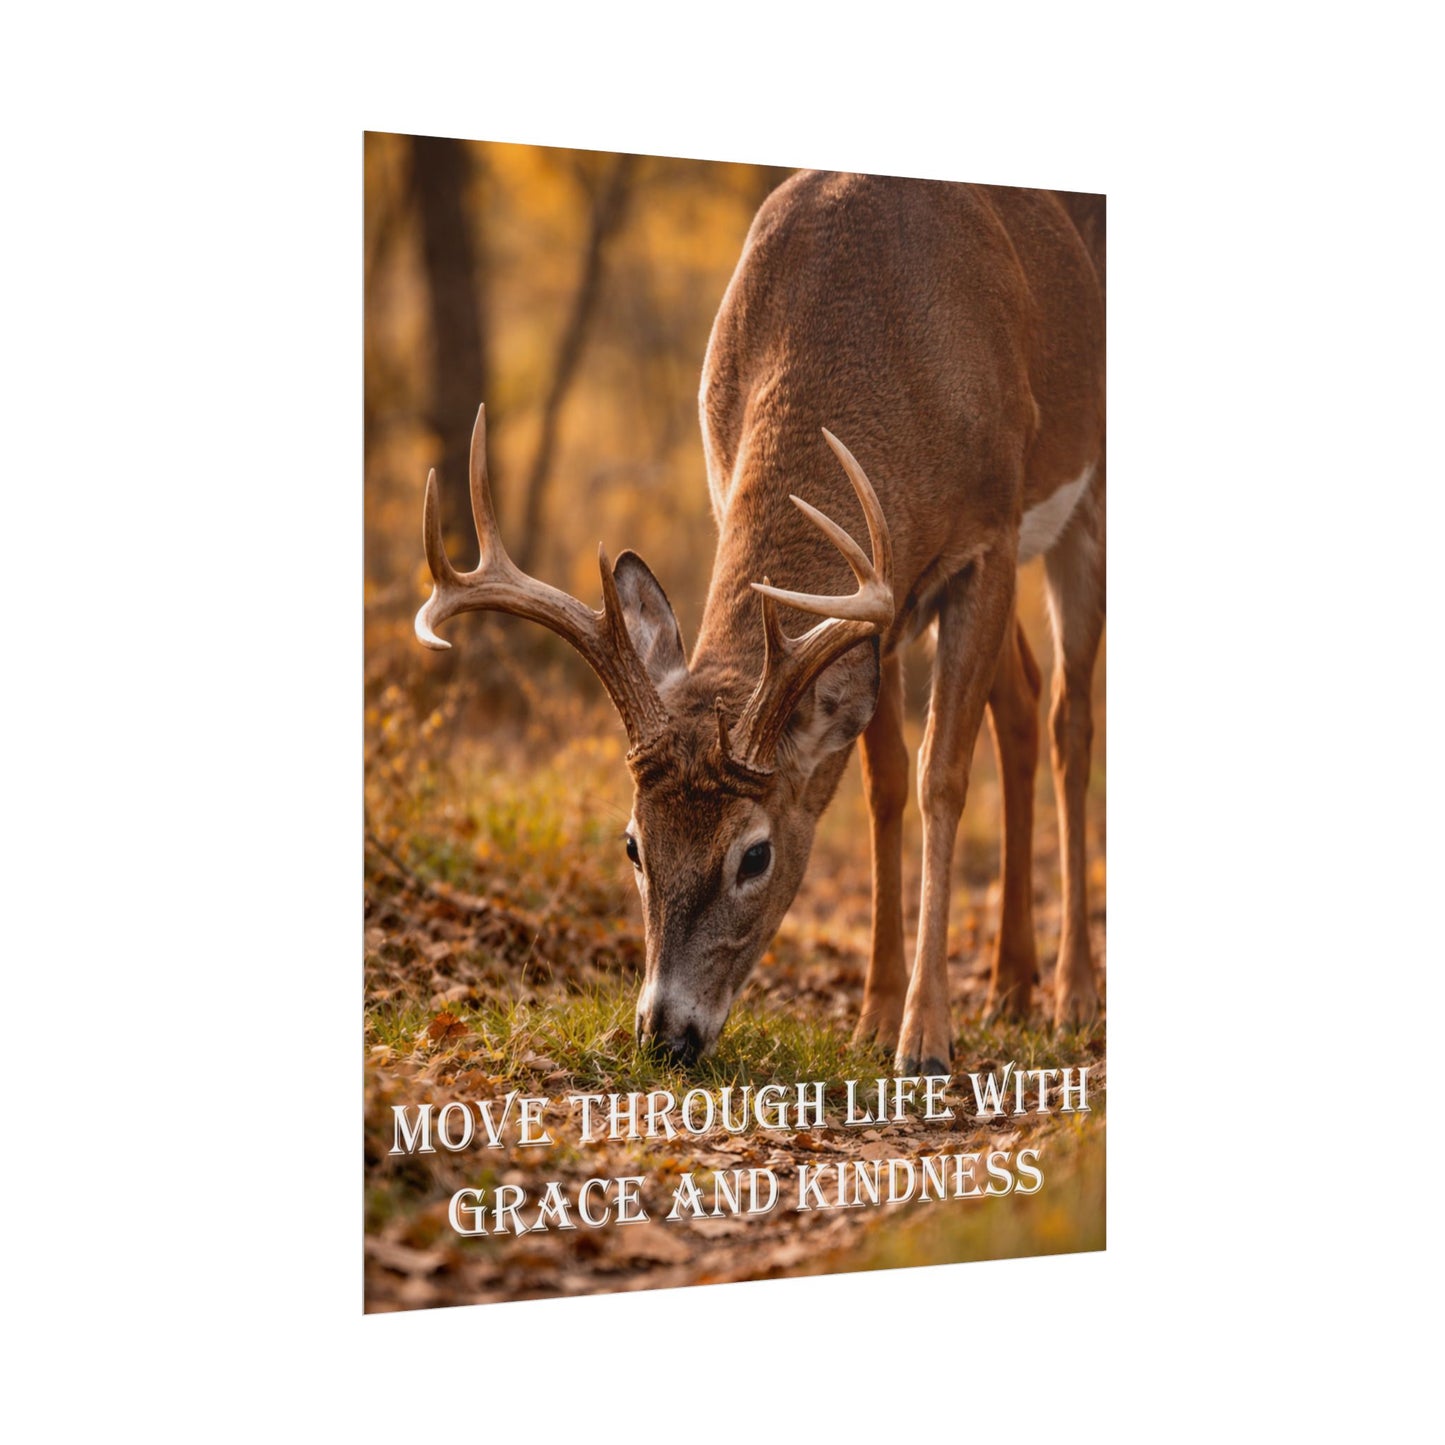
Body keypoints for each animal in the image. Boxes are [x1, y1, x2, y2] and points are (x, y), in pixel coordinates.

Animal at [415, 171, 1105, 1075]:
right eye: (633, 843)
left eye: (754, 854)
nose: (665, 1034)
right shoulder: (874, 596)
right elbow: (883, 784)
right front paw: (875, 1014)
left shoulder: (985, 537)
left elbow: (940, 778)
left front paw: (923, 1036)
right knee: (1022, 698)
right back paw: (1010, 986)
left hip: (1081, 499)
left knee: (1068, 717)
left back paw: (1072, 994)